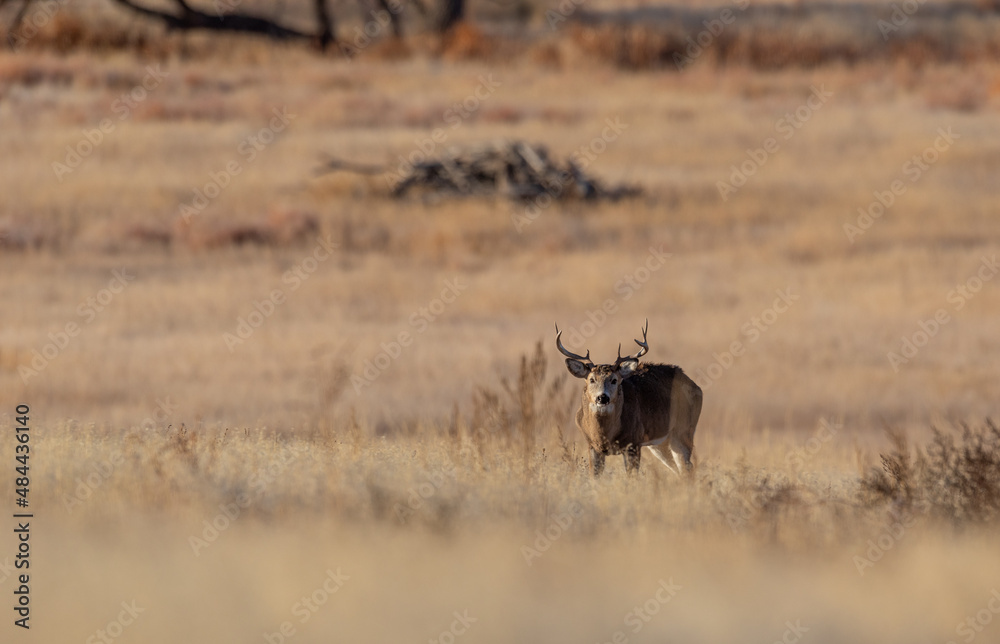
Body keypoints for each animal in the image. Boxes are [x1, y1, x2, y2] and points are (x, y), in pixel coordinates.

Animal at [555, 320, 702, 477]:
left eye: (614, 380)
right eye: (591, 379)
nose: (602, 398)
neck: (605, 435)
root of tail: (695, 386)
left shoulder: (633, 443)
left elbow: (632, 477)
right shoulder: (592, 446)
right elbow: (594, 476)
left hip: (684, 430)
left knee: (687, 467)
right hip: (660, 441)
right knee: (678, 469)